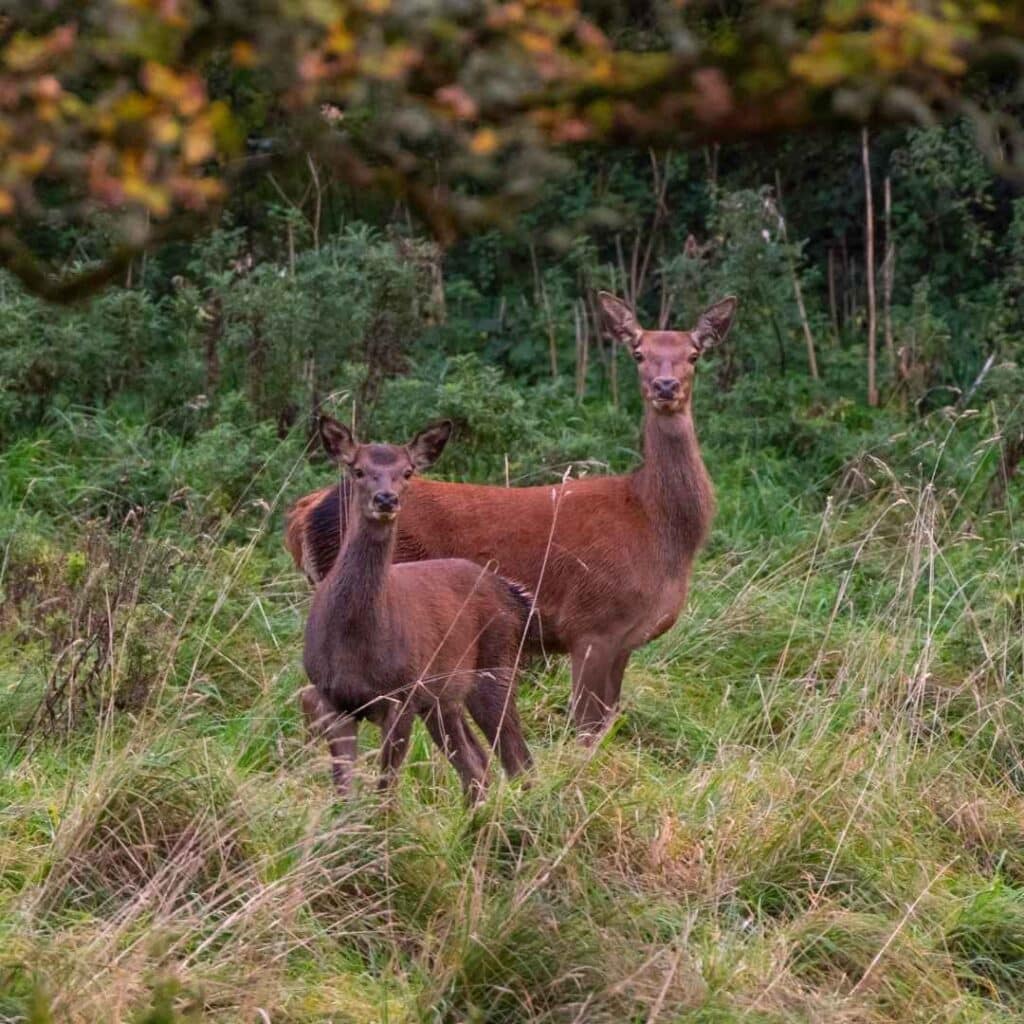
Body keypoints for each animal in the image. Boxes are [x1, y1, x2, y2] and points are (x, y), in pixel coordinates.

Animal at [288, 292, 737, 741]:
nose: (665, 386)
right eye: (638, 352)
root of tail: (304, 512)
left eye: (693, 354)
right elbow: (586, 729)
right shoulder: (591, 624)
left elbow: (607, 721)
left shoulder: (623, 640)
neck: (655, 523)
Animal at [299, 415, 532, 798]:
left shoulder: (402, 695)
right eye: (358, 470)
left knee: (518, 759)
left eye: (407, 472)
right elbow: (344, 791)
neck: (354, 643)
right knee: (476, 764)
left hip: (495, 667)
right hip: (443, 699)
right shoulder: (333, 698)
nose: (386, 499)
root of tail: (511, 592)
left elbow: (386, 789)